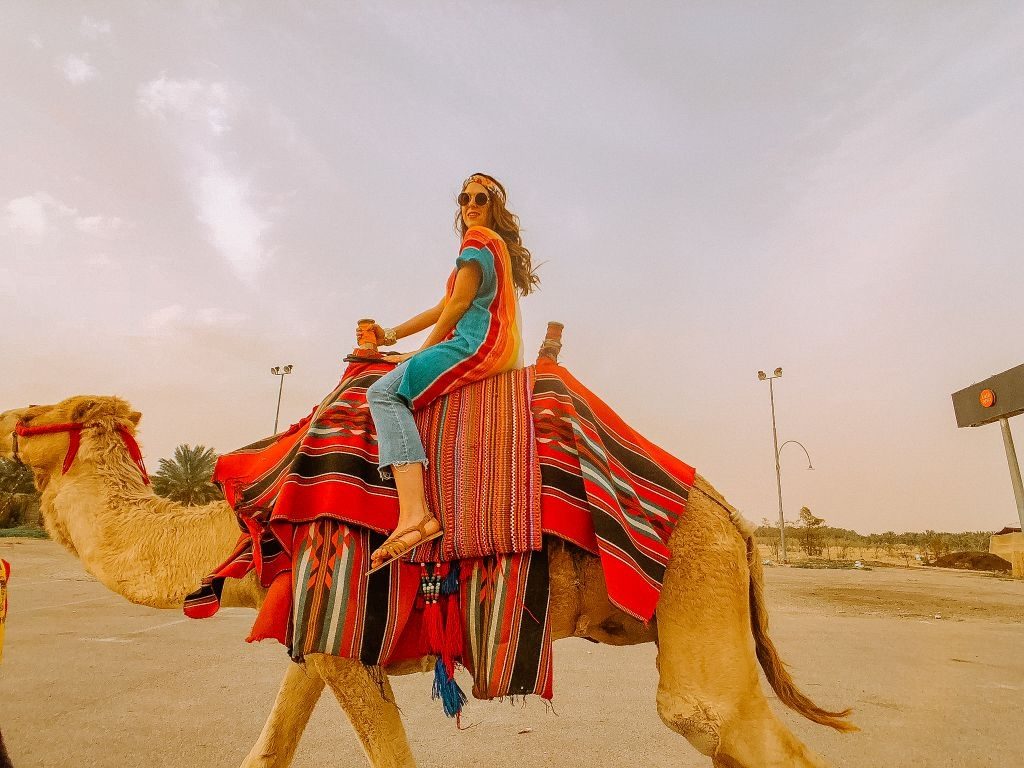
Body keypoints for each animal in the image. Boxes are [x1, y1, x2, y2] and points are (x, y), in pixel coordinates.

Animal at [0, 385, 851, 768]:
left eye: (34, 415)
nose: (4, 414)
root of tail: (738, 524)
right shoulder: (316, 636)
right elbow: (269, 746)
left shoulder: (340, 617)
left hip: (696, 587)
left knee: (710, 717)